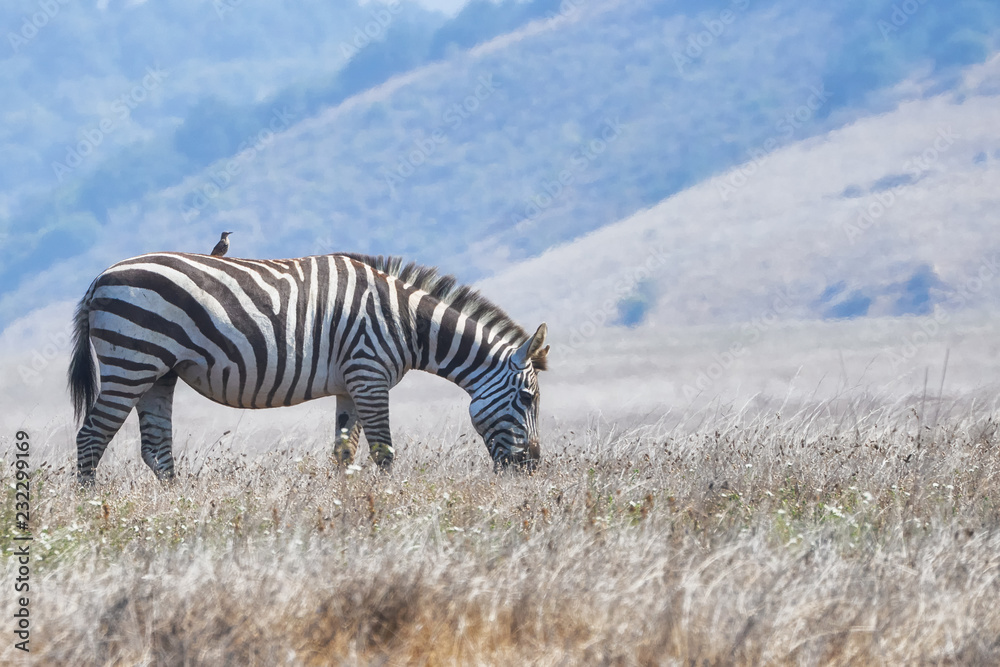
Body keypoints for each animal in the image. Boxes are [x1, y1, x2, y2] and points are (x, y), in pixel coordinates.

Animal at [68, 252, 549, 484]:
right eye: (527, 399)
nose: (533, 467)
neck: (409, 323)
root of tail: (100, 278)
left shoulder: (351, 384)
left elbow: (343, 451)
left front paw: (345, 501)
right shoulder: (369, 374)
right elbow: (384, 452)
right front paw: (392, 502)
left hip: (158, 372)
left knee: (156, 450)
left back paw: (182, 507)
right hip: (131, 360)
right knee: (92, 436)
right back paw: (89, 507)